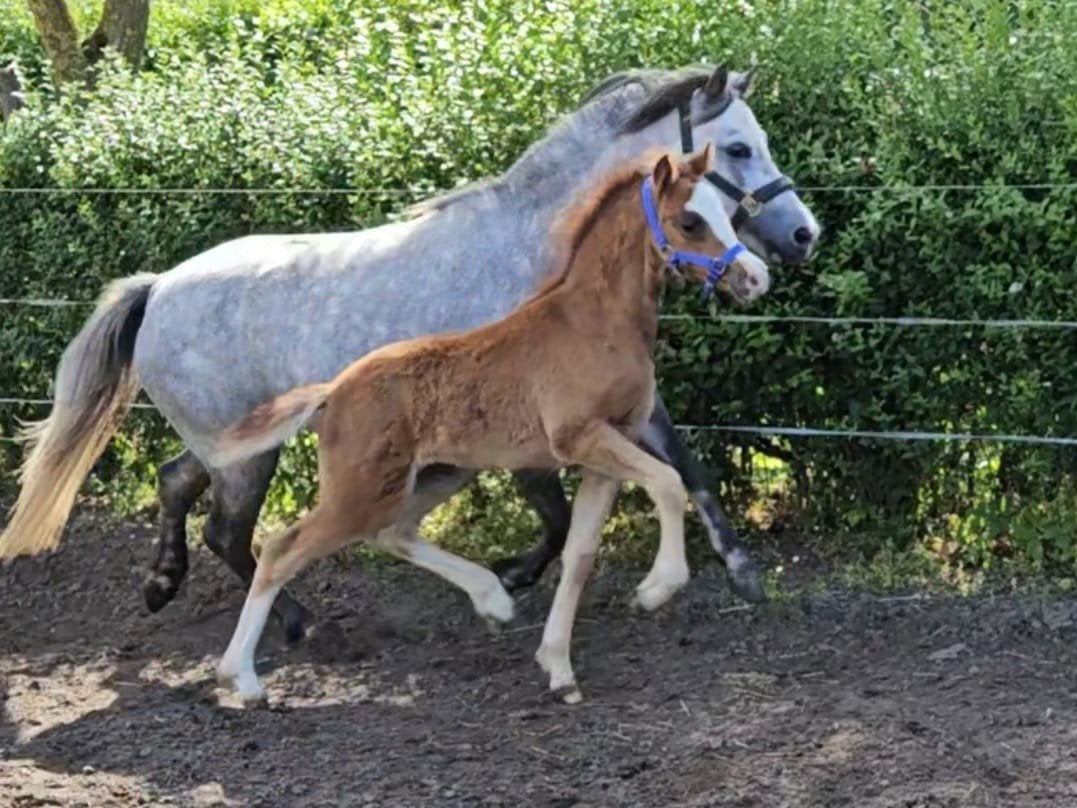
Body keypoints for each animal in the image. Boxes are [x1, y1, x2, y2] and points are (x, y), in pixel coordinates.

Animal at [0, 64, 819, 642]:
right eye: (738, 148)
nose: (800, 237)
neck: (536, 255)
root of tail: (159, 287)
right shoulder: (528, 417)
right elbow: (554, 513)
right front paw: (510, 581)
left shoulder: (620, 403)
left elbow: (689, 468)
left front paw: (744, 575)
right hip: (246, 458)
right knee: (229, 533)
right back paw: (298, 623)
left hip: (235, 442)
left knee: (175, 483)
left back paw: (161, 584)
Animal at [212, 145, 770, 705]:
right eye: (690, 221)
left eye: (726, 212)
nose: (755, 277)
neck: (595, 324)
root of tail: (332, 391)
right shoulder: (581, 438)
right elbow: (670, 484)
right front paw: (655, 590)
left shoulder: (606, 454)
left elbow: (581, 552)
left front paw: (558, 667)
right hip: (360, 492)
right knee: (281, 550)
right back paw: (241, 679)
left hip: (435, 475)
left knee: (393, 532)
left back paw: (493, 599)